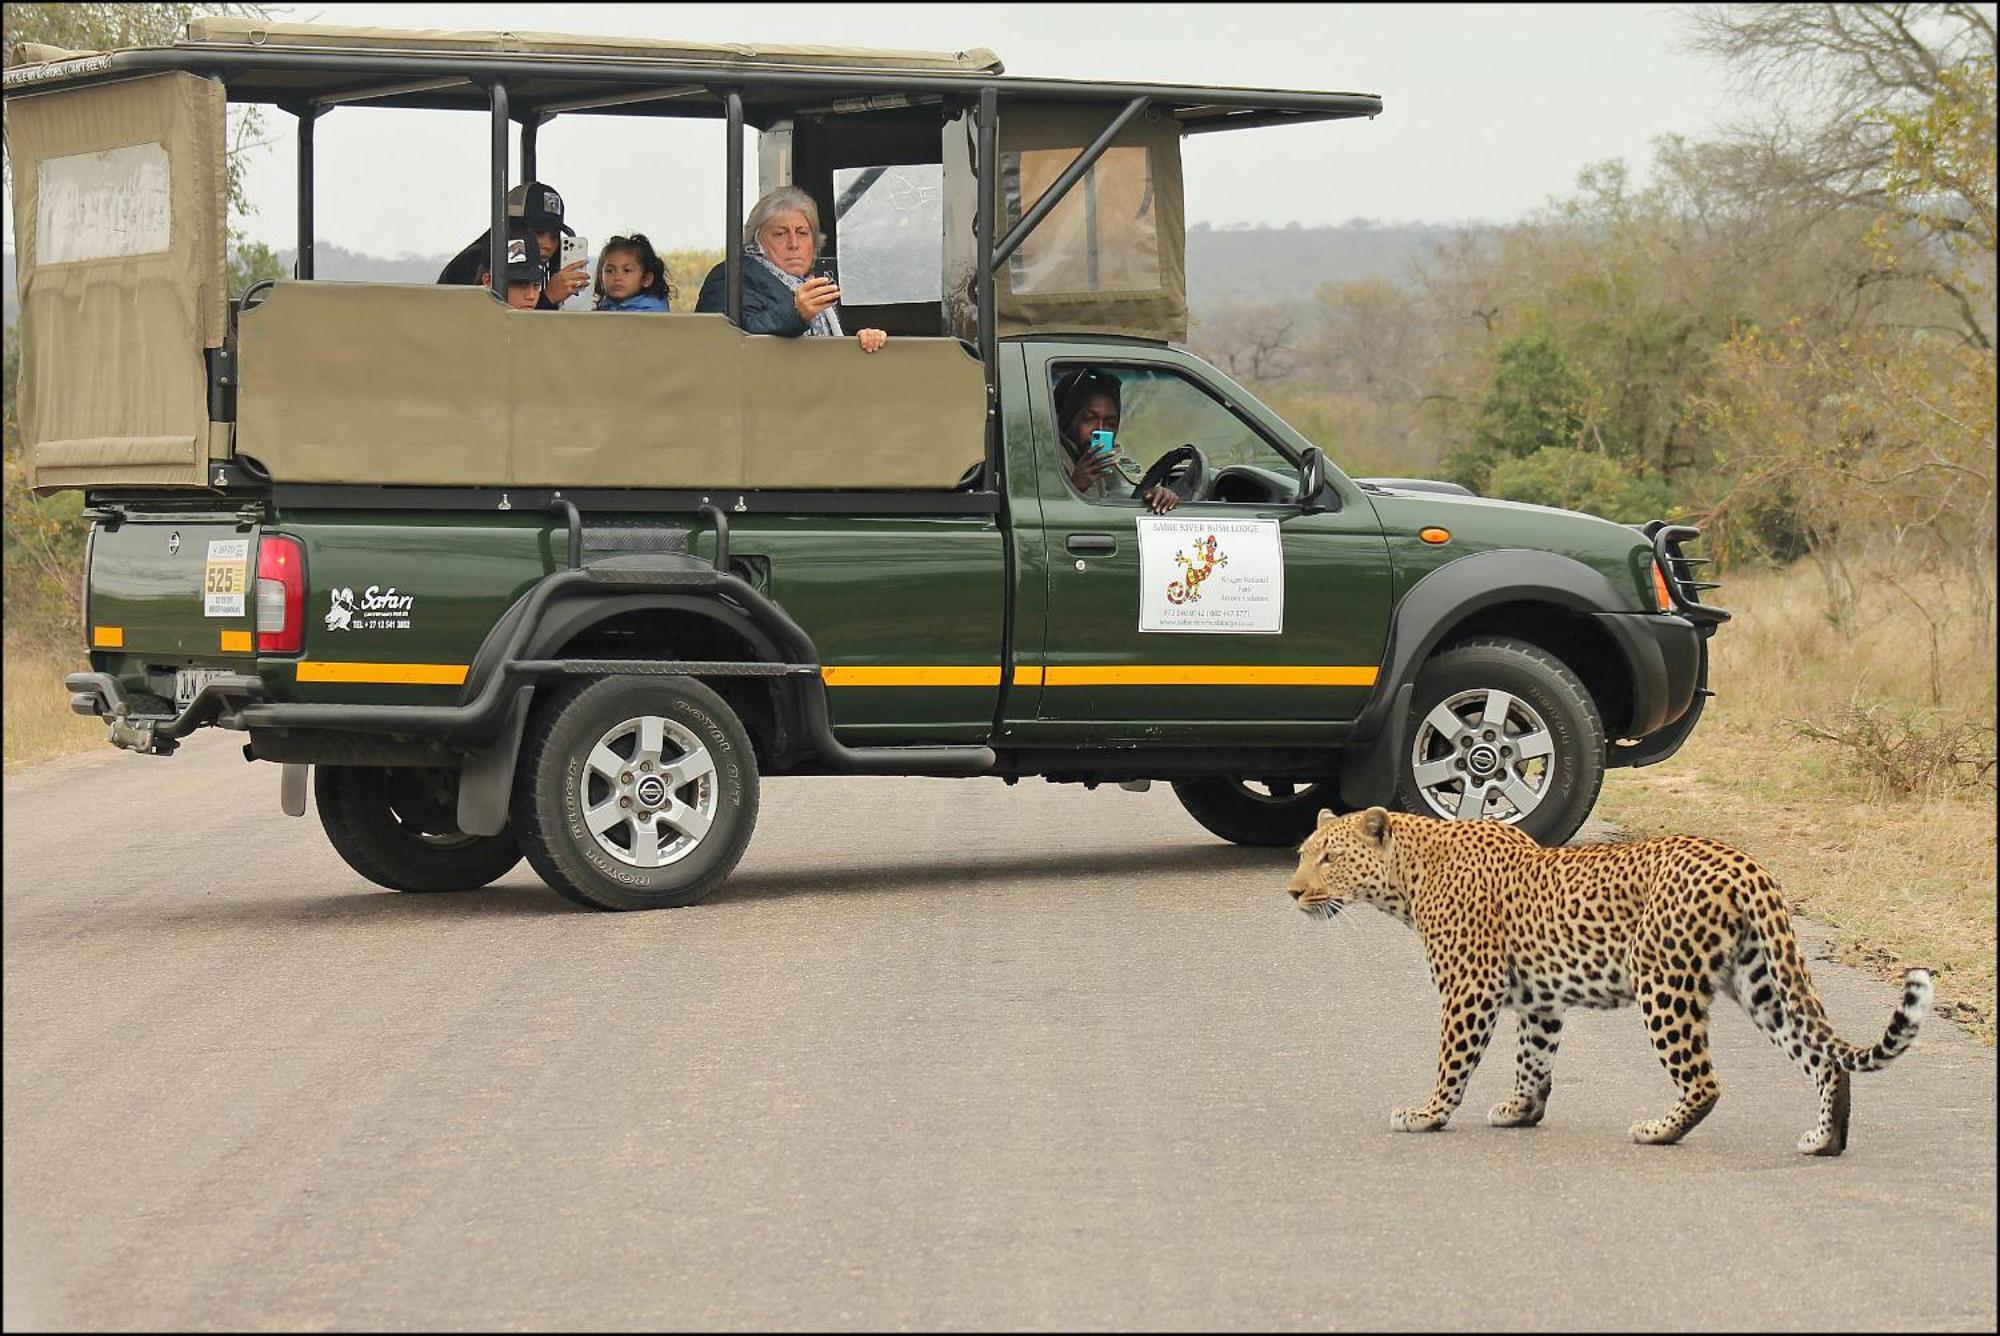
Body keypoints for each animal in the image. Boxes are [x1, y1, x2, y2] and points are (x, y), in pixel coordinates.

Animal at [1288, 804, 1928, 1160]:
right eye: (1301, 854)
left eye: (1328, 859)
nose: (1292, 892)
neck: (1407, 878)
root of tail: (1747, 865)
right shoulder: (1540, 1000)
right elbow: (1533, 1058)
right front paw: (1521, 1111)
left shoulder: (1471, 987)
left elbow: (1454, 1058)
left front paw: (1428, 1114)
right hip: (1760, 981)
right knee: (1823, 1058)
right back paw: (1825, 1140)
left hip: (1664, 982)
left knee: (1705, 1081)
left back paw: (1658, 1131)